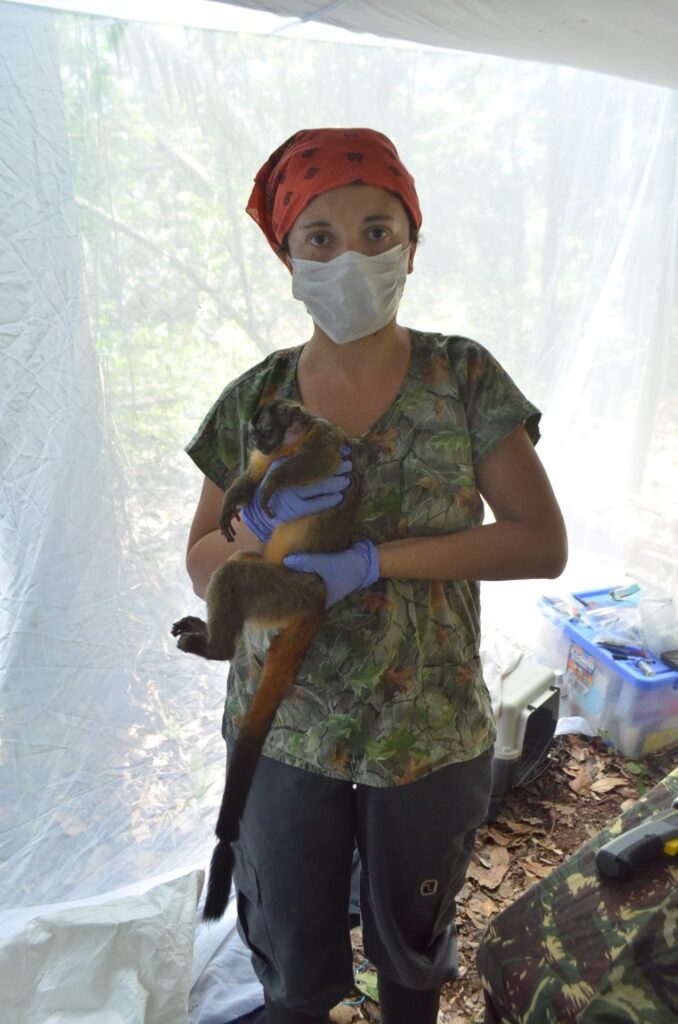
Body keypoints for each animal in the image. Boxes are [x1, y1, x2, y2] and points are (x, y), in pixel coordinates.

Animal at [171, 397, 360, 921]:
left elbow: (319, 462)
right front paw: (239, 497)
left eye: (264, 426)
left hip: (291, 590)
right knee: (240, 561)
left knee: (234, 574)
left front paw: (276, 485)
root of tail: (318, 603)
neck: (289, 442)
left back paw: (213, 647)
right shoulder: (266, 456)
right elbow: (250, 475)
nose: (255, 437)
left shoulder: (325, 437)